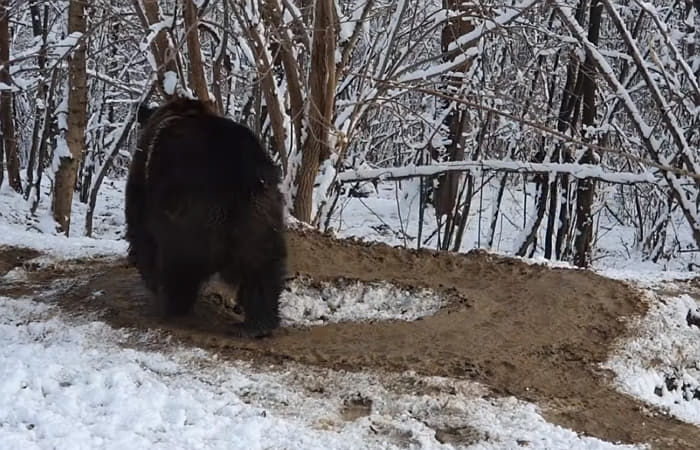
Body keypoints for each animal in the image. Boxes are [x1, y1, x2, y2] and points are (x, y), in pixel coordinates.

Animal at [125, 97, 288, 338]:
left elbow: (143, 236)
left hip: (189, 214)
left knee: (180, 262)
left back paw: (173, 305)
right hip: (263, 216)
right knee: (263, 268)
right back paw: (258, 324)